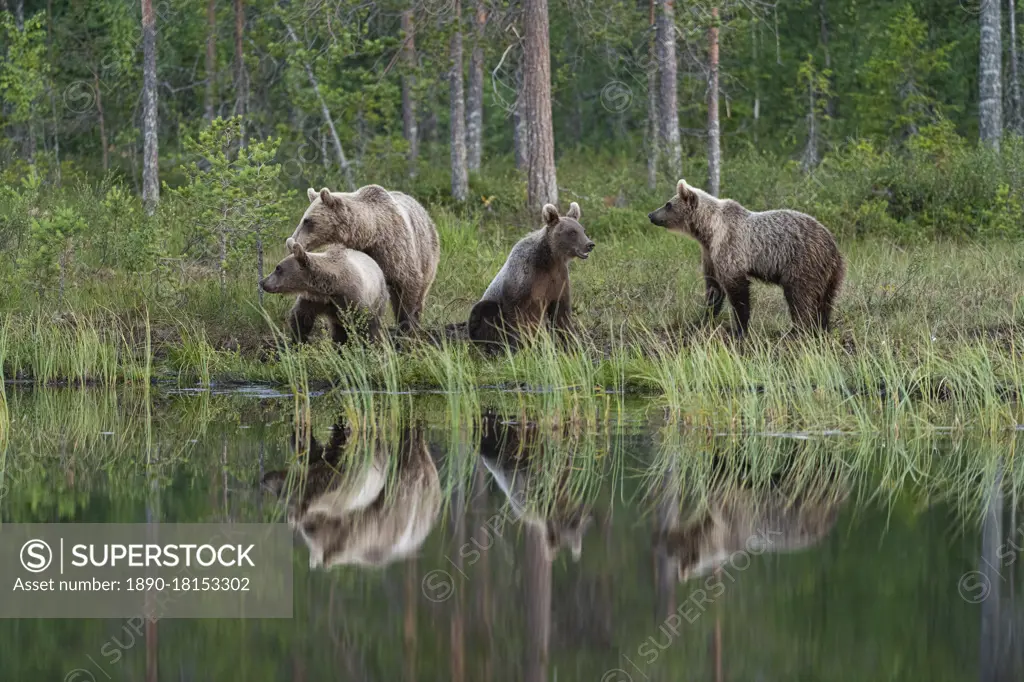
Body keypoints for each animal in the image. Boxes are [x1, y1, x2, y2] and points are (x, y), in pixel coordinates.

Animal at [284, 184, 440, 329]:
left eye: (307, 221)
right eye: (303, 219)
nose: (292, 242)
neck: (371, 233)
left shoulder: (395, 251)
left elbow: (408, 285)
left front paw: (407, 324)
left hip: (427, 254)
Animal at [468, 201, 598, 346]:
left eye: (583, 230)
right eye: (572, 232)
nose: (589, 244)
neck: (550, 260)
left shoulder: (559, 280)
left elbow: (562, 315)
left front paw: (574, 343)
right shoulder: (523, 282)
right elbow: (515, 318)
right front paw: (519, 345)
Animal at [647, 178, 847, 331]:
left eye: (668, 204)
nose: (651, 215)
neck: (708, 231)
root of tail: (833, 245)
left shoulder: (730, 246)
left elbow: (737, 290)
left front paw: (740, 328)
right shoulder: (709, 254)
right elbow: (713, 288)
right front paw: (702, 320)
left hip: (803, 263)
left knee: (801, 297)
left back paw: (797, 330)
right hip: (831, 273)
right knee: (826, 300)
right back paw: (822, 327)